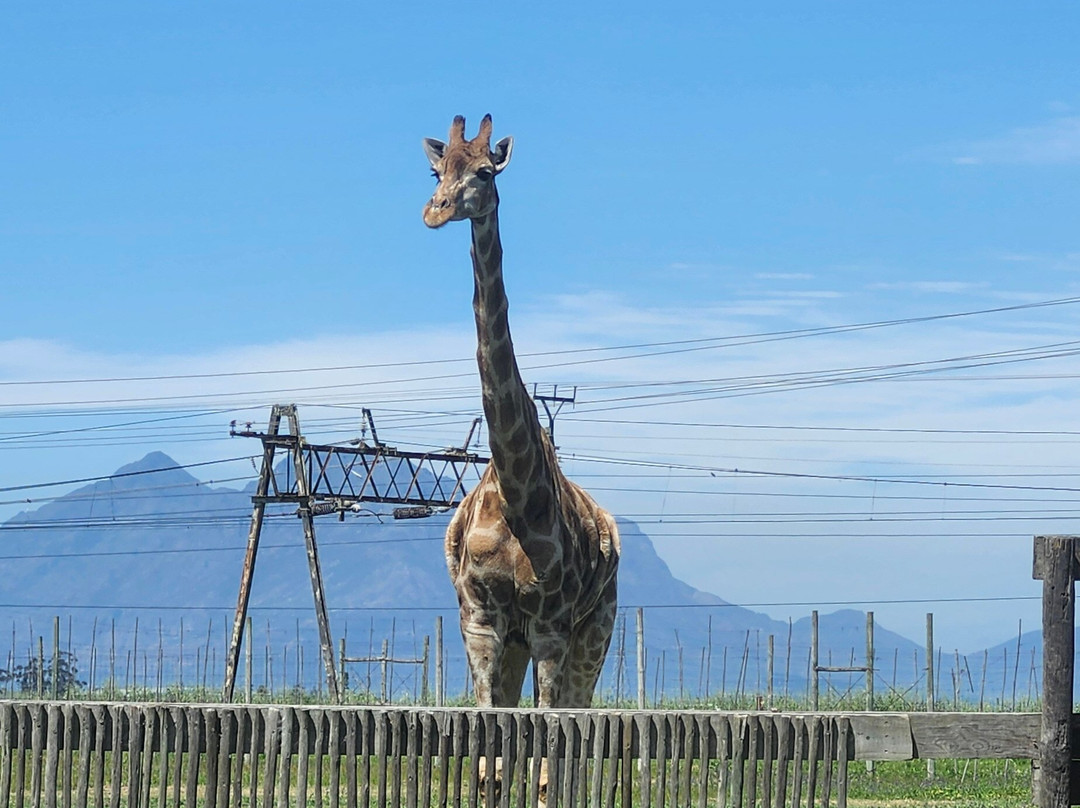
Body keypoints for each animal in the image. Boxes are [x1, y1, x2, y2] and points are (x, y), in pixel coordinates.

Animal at [422, 114, 620, 715]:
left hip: (596, 627)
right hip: (515, 643)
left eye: (485, 172)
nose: (435, 210)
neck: (514, 492)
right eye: (436, 171)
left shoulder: (551, 625)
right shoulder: (481, 621)